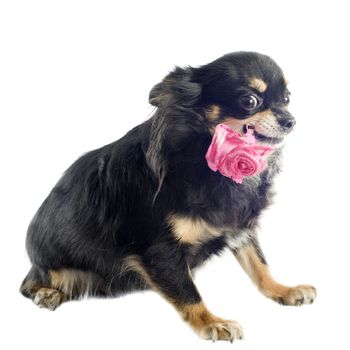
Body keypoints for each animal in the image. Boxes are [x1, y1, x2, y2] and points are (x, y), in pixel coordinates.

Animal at [21, 52, 318, 342]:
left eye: (287, 99)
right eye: (249, 100)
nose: (290, 121)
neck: (202, 153)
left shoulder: (239, 228)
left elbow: (258, 264)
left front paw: (283, 290)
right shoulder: (159, 251)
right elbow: (188, 292)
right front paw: (212, 322)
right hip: (48, 266)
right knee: (29, 284)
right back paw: (46, 293)